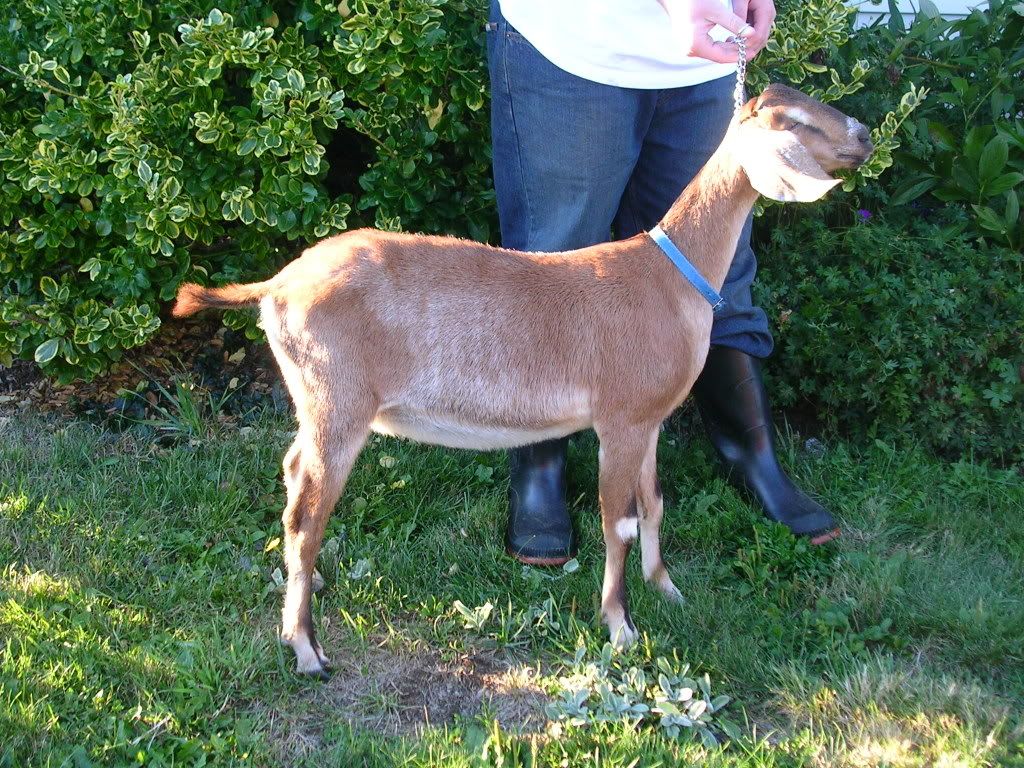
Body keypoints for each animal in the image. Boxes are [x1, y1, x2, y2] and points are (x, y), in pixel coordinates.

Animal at [173, 85, 873, 678]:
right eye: (795, 121)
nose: (865, 135)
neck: (669, 279)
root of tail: (279, 283)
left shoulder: (648, 419)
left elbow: (653, 502)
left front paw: (666, 588)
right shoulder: (619, 419)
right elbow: (616, 520)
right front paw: (620, 627)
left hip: (316, 400)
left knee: (293, 475)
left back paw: (311, 582)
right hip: (338, 400)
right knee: (306, 513)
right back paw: (305, 646)